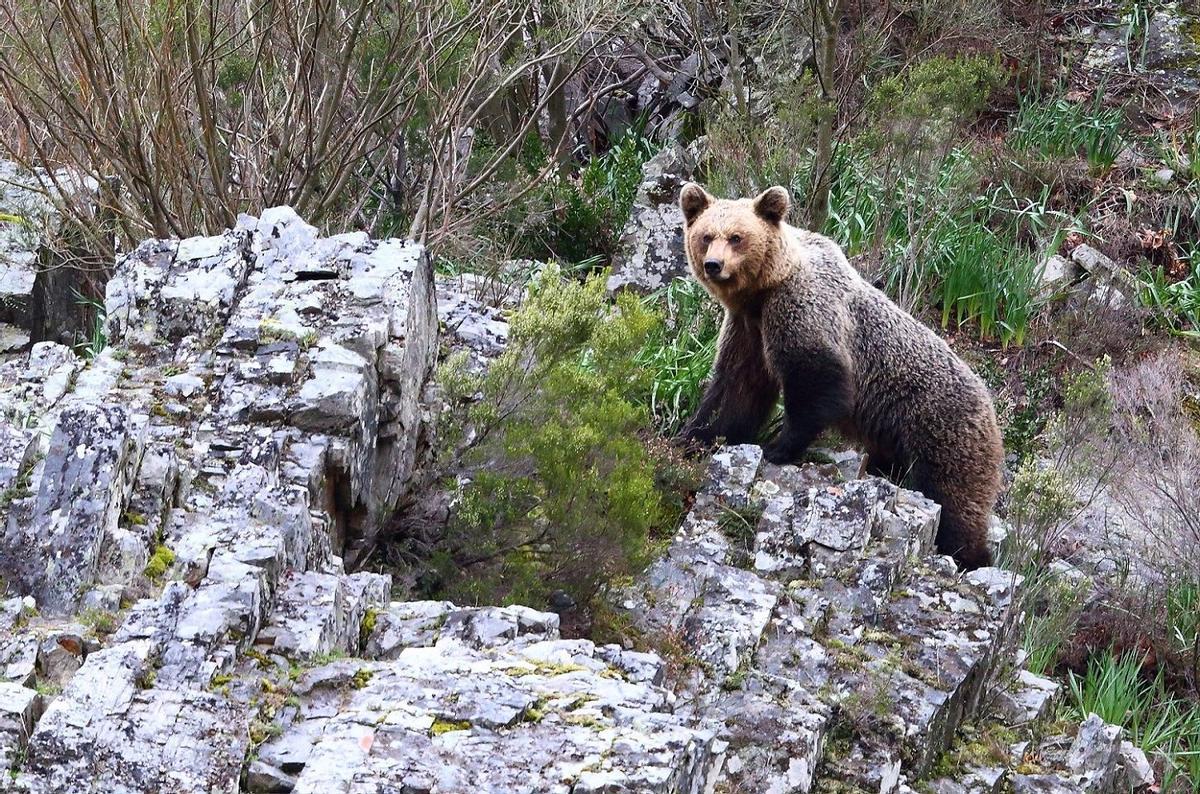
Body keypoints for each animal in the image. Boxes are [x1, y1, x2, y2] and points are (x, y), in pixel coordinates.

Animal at [676, 184, 1003, 573]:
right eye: (706, 236)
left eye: (737, 237)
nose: (714, 265)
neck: (764, 290)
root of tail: (991, 406)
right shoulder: (748, 328)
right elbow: (738, 385)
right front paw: (697, 434)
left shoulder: (802, 311)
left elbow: (816, 380)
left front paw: (778, 447)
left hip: (942, 431)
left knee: (953, 500)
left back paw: (969, 556)